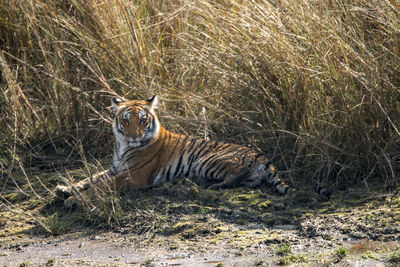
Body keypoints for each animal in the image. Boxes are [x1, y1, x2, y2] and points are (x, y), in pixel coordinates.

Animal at [56, 95, 332, 208]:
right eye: (126, 120)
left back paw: (209, 186)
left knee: (239, 174)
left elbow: (103, 186)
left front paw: (72, 200)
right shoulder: (115, 167)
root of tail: (262, 154)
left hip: (207, 160)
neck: (122, 146)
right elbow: (91, 178)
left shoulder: (135, 175)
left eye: (143, 120)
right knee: (251, 181)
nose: (134, 136)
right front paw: (64, 189)